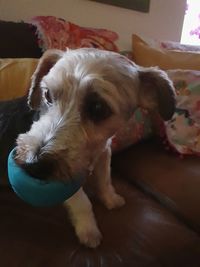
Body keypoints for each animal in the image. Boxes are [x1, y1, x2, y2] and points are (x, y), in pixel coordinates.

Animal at [0, 48, 175, 249]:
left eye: (98, 108)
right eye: (47, 95)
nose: (33, 165)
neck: (95, 150)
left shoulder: (104, 154)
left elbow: (104, 179)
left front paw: (110, 199)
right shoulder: (68, 180)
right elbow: (82, 202)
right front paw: (88, 230)